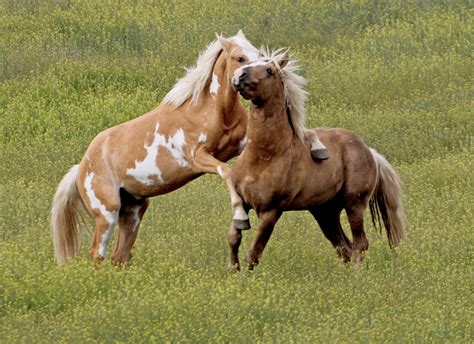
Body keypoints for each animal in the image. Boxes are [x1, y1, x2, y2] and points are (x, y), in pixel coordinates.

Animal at [51, 31, 264, 264]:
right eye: (239, 58)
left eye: (260, 54)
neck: (212, 110)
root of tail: (80, 167)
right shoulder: (198, 158)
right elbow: (226, 171)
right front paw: (240, 217)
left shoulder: (241, 146)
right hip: (107, 213)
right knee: (97, 253)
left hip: (133, 211)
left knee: (119, 256)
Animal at [228, 51, 406, 270]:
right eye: (249, 62)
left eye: (269, 70)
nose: (238, 75)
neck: (263, 157)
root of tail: (369, 151)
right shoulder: (241, 202)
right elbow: (234, 239)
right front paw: (233, 272)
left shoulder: (271, 211)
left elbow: (254, 253)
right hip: (325, 212)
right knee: (343, 247)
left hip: (354, 204)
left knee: (359, 244)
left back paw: (357, 275)